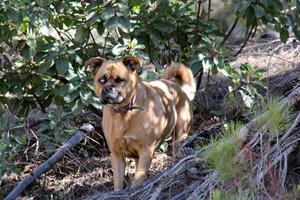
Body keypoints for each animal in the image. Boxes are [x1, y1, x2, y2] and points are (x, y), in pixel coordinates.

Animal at [85, 56, 197, 191]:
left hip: (179, 137)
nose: (107, 89)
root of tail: (181, 90)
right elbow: (118, 182)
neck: (124, 113)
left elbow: (138, 180)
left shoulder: (146, 151)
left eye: (119, 80)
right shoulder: (117, 155)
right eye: (102, 80)